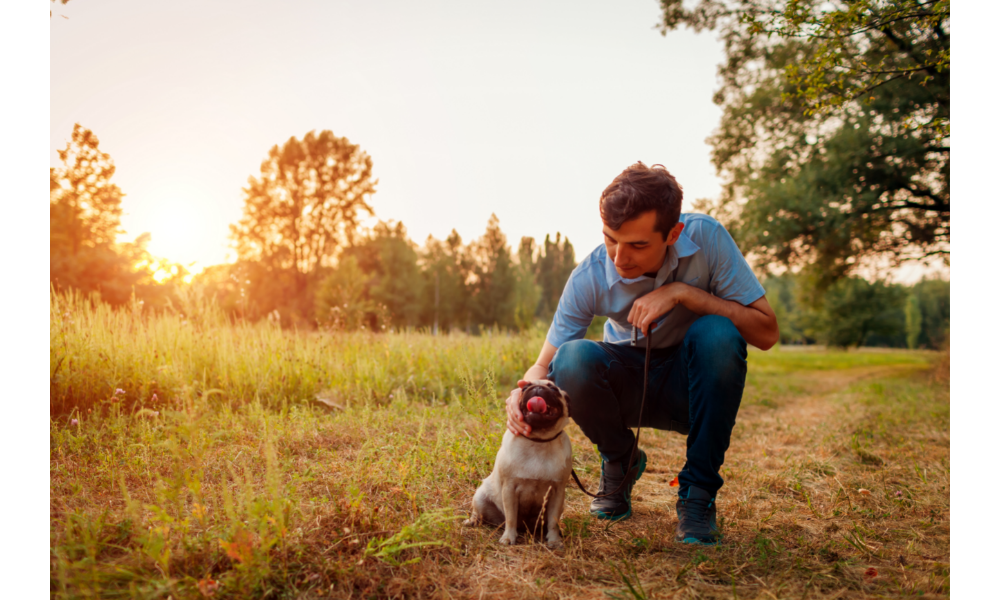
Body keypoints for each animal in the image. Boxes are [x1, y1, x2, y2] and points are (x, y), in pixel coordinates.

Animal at [460, 380, 572, 548]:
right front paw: (508, 538)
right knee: (479, 514)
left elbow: (553, 521)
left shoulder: (557, 492)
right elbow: (511, 518)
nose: (537, 387)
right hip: (480, 498)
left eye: (553, 389)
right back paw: (472, 521)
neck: (538, 441)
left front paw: (554, 540)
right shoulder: (509, 489)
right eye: (524, 388)